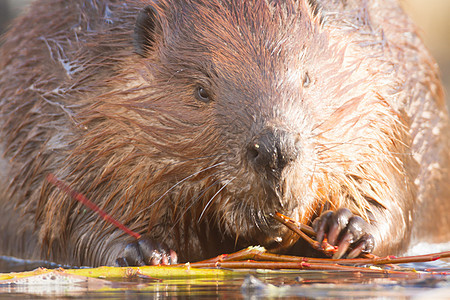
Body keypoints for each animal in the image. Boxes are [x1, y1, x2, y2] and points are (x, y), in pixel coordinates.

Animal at [0, 0, 448, 268]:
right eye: (202, 90)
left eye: (307, 77)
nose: (275, 148)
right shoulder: (70, 119)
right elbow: (69, 214)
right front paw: (142, 249)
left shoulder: (380, 92)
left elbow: (391, 186)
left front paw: (347, 228)